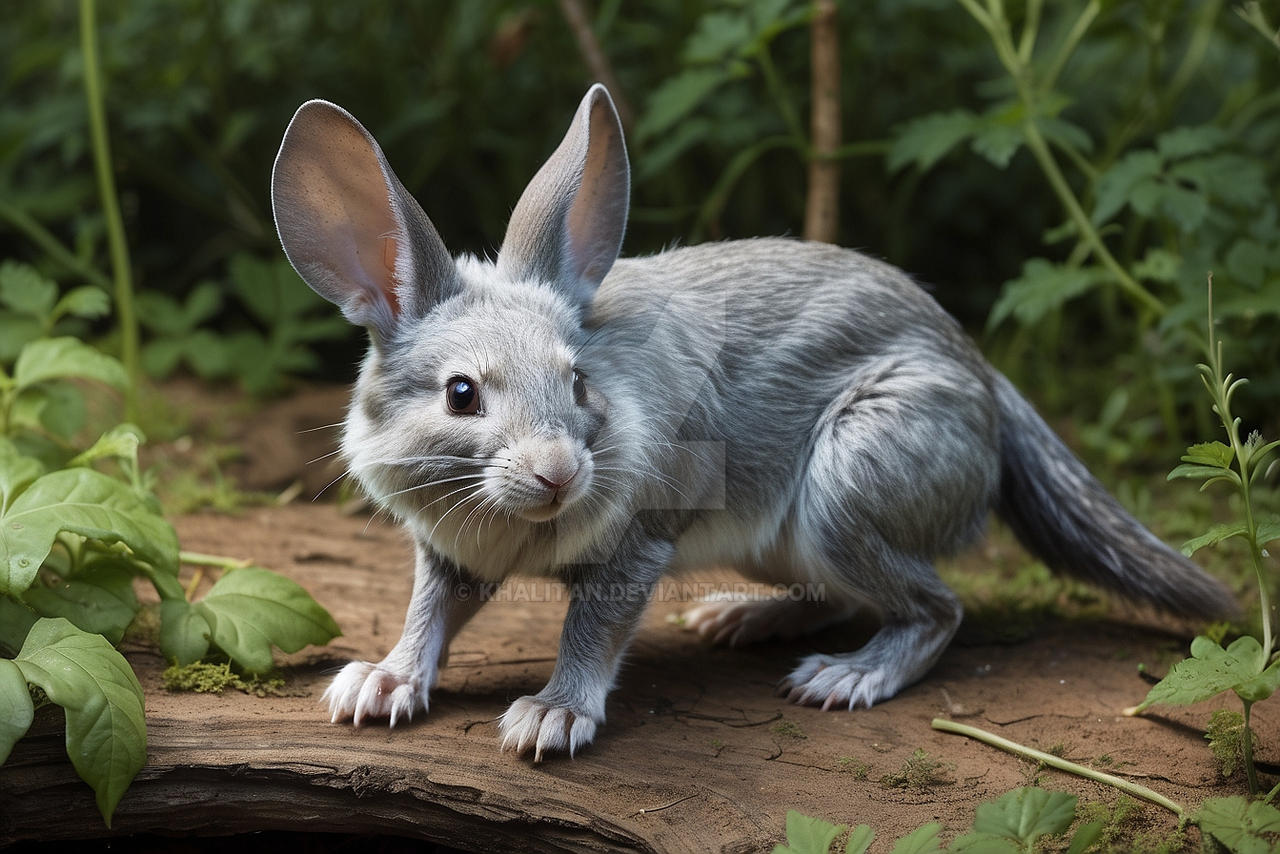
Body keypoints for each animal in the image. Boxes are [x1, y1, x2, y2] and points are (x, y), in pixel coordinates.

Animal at [270, 84, 1238, 761]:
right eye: (462, 394)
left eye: (578, 382)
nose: (560, 472)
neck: (511, 521)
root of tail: (983, 381)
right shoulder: (450, 554)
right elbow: (427, 614)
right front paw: (379, 685)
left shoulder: (638, 547)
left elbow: (592, 630)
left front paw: (550, 717)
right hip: (791, 537)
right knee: (847, 593)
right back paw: (744, 618)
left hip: (845, 488)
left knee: (938, 607)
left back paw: (846, 677)